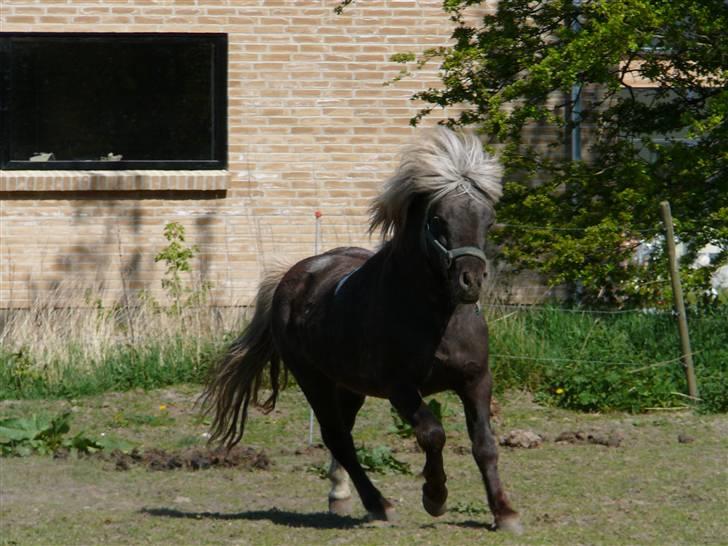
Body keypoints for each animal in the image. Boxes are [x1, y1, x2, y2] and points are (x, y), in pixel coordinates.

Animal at [199, 126, 524, 532]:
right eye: (438, 220)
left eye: (488, 220)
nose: (472, 281)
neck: (437, 319)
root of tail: (291, 277)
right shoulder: (400, 388)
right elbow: (432, 434)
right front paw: (434, 498)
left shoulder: (476, 380)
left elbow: (485, 445)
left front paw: (505, 513)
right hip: (314, 380)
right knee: (337, 436)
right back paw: (378, 503)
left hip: (349, 385)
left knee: (344, 433)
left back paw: (341, 495)